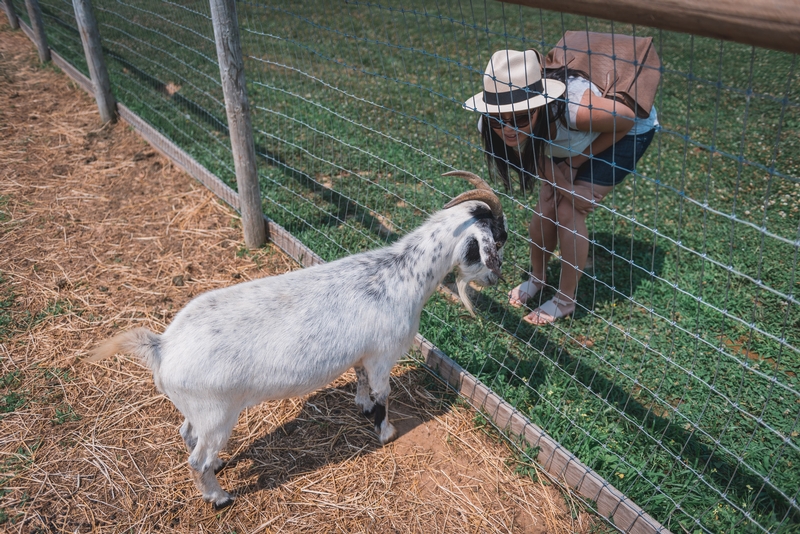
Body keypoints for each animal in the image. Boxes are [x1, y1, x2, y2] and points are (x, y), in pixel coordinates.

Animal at [87, 173, 510, 510]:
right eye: (498, 238)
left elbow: (360, 381)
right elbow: (383, 394)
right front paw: (386, 432)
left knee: (187, 435)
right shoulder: (383, 354)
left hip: (198, 411)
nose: (497, 279)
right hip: (217, 413)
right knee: (196, 459)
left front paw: (361, 407)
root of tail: (162, 347)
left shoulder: (364, 354)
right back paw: (219, 497)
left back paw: (221, 466)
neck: (401, 274)